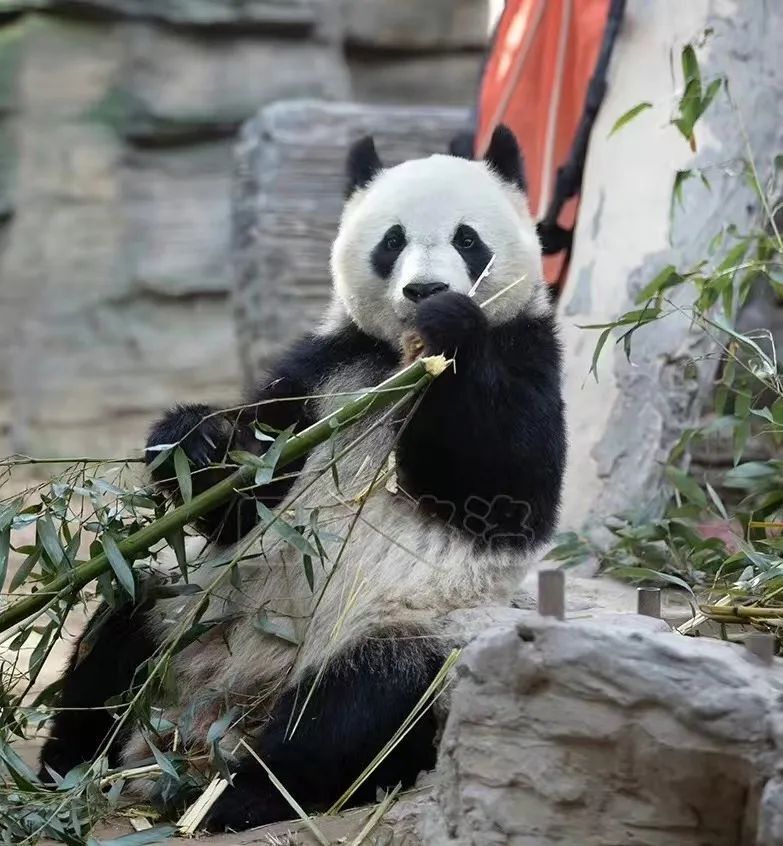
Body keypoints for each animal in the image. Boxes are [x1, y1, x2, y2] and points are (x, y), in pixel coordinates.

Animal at [39, 127, 568, 836]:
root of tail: (223, 710)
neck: (394, 359)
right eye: (392, 240)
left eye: (467, 239)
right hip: (193, 606)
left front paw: (450, 327)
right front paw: (194, 441)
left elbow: (506, 486)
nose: (426, 291)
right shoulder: (322, 373)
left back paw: (239, 796)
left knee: (355, 709)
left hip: (408, 631)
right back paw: (64, 771)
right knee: (124, 625)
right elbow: (242, 500)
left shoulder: (527, 351)